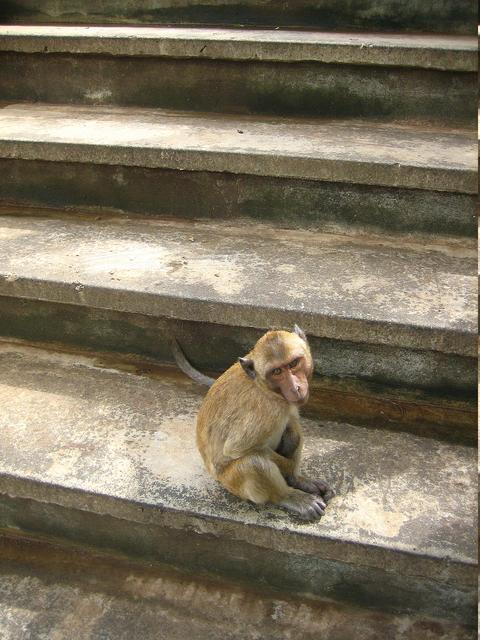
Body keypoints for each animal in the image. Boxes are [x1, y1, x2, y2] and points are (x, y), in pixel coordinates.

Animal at [174, 326, 334, 521]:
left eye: (293, 363)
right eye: (277, 372)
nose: (295, 388)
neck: (265, 387)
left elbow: (292, 424)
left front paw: (295, 477)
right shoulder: (269, 411)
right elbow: (235, 449)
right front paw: (290, 472)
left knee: (293, 426)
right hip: (232, 482)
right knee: (253, 463)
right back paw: (288, 495)